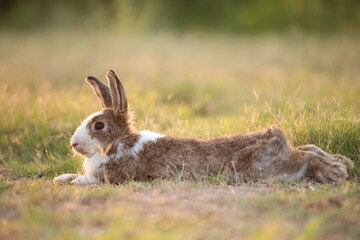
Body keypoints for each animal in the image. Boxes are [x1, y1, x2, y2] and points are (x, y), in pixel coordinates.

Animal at [53, 69, 354, 186]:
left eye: (99, 125)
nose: (73, 144)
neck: (118, 143)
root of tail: (275, 138)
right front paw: (61, 178)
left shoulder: (118, 176)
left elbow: (91, 180)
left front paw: (75, 181)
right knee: (307, 148)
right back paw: (343, 164)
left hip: (267, 169)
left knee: (303, 157)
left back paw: (336, 173)